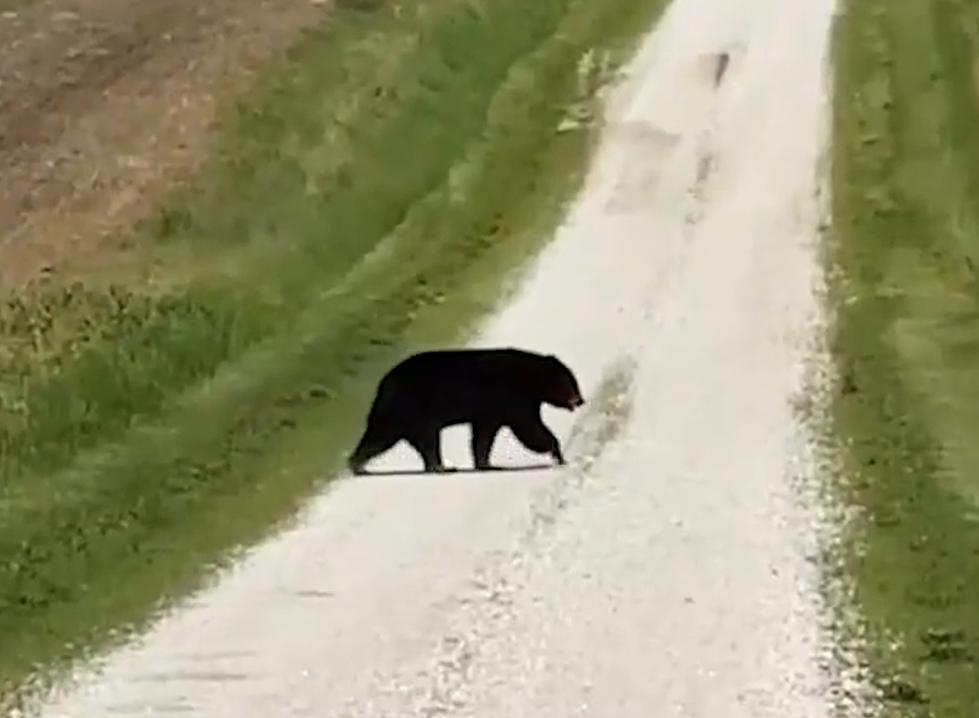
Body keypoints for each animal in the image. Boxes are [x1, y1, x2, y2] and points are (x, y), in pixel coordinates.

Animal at [348, 350, 584, 476]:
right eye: (571, 382)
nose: (580, 400)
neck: (530, 378)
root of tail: (383, 384)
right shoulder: (511, 399)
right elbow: (528, 428)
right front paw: (558, 452)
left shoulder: (491, 411)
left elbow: (484, 435)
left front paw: (486, 463)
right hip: (410, 409)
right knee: (391, 436)